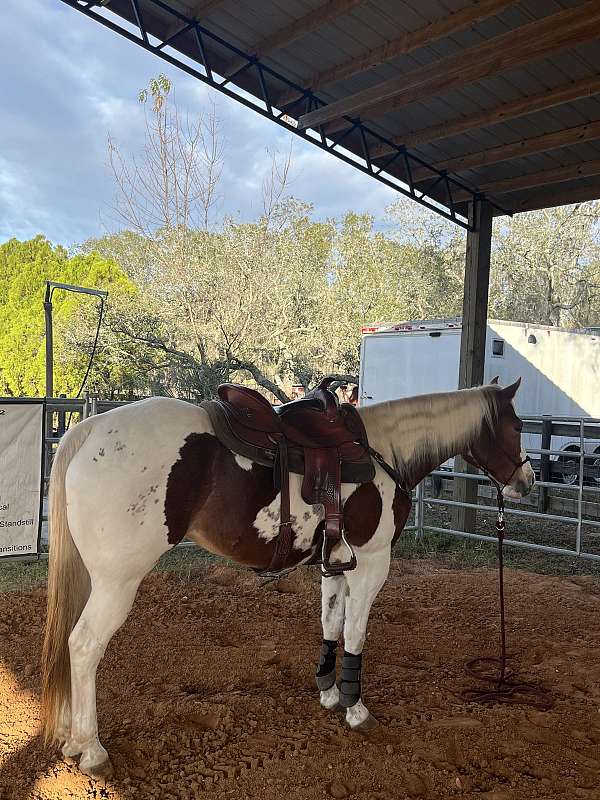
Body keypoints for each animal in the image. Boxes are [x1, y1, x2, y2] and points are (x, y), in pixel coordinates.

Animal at [41, 378, 534, 777]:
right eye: (516, 426)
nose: (527, 481)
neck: (383, 451)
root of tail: (91, 430)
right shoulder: (372, 562)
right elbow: (356, 633)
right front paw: (356, 709)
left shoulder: (335, 562)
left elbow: (331, 624)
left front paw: (329, 693)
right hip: (116, 582)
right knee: (83, 646)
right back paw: (92, 750)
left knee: (68, 642)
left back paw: (71, 739)